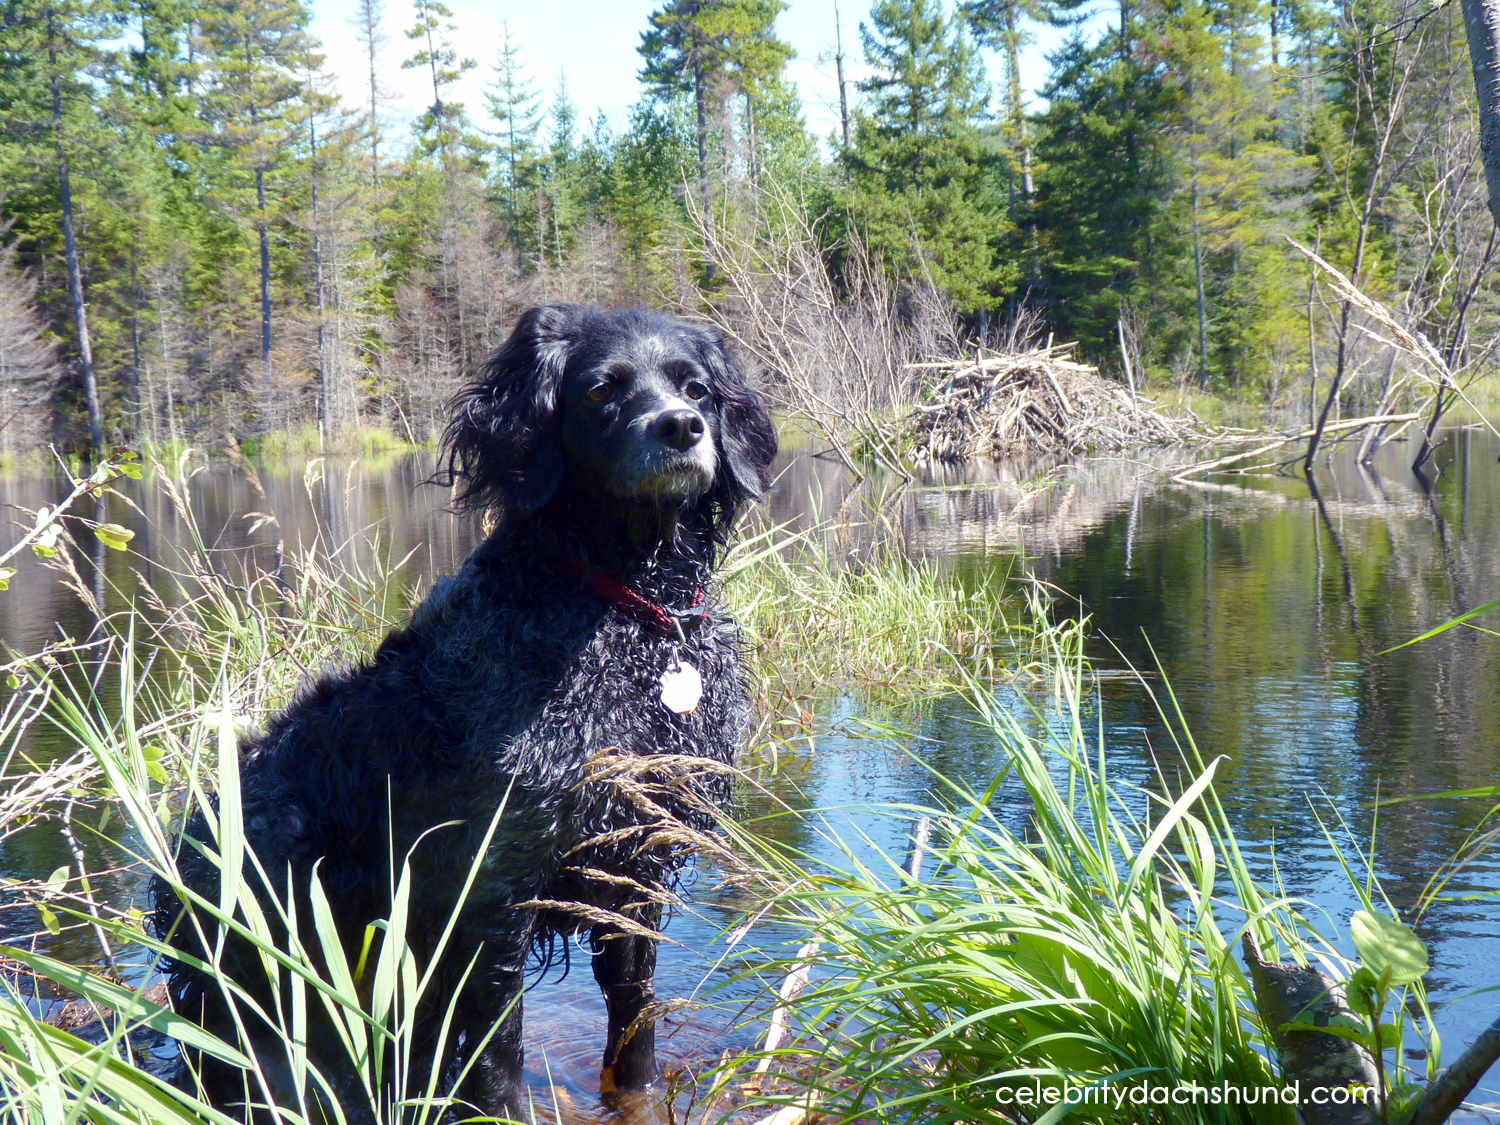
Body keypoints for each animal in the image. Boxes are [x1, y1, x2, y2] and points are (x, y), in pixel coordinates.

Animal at [155, 304, 774, 1122]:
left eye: (696, 387)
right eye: (601, 391)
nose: (679, 427)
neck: (626, 613)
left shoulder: (632, 867)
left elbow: (633, 1027)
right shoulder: (492, 892)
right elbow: (498, 1056)